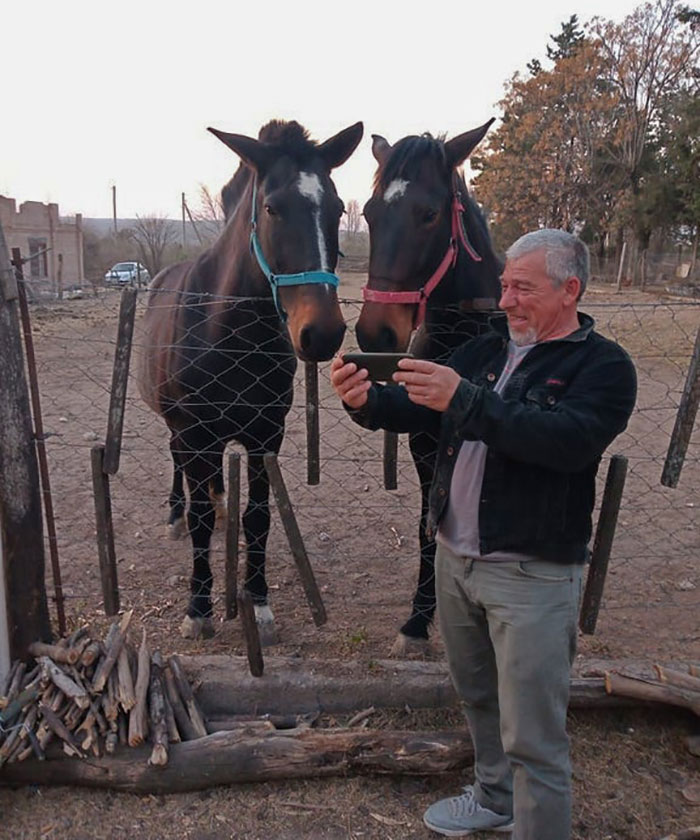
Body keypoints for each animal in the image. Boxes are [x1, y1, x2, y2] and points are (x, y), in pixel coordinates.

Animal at [139, 118, 364, 640]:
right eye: (271, 207)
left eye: (337, 208)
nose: (322, 332)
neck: (231, 334)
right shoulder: (197, 432)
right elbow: (200, 519)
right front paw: (198, 609)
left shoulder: (266, 436)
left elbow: (258, 518)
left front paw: (258, 604)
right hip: (179, 429)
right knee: (178, 466)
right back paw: (175, 513)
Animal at [356, 120, 504, 656]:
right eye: (369, 213)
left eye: (430, 214)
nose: (375, 334)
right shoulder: (424, 444)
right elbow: (427, 526)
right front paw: (417, 621)